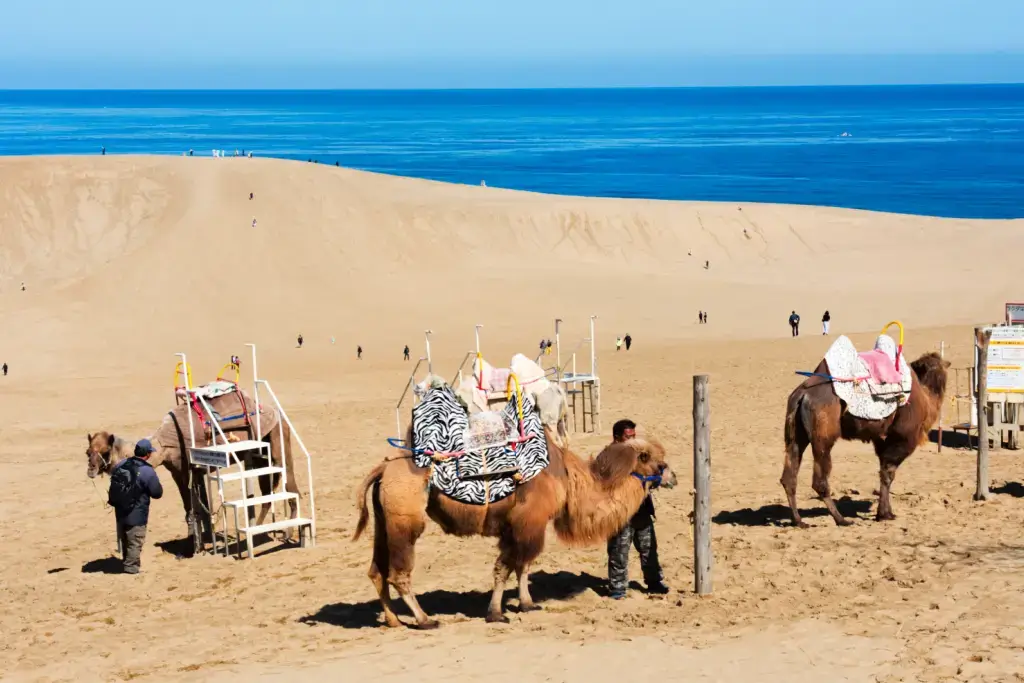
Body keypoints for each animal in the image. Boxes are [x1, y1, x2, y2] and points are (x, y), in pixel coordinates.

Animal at [88, 387, 299, 548]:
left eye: (105, 451)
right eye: (87, 451)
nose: (90, 469)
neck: (162, 445)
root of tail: (276, 413)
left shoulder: (189, 469)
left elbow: (196, 505)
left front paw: (197, 544)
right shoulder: (179, 471)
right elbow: (194, 506)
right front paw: (198, 539)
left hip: (278, 440)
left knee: (290, 486)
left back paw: (288, 534)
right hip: (259, 456)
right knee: (267, 494)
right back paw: (258, 532)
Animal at [348, 430, 675, 626]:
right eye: (659, 464)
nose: (674, 477)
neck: (569, 479)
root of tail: (384, 468)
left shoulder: (521, 528)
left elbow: (522, 566)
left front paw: (527, 604)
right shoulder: (527, 522)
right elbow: (505, 568)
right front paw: (496, 613)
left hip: (385, 520)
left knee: (377, 571)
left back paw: (393, 620)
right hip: (405, 521)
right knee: (398, 573)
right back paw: (425, 619)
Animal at [782, 352, 950, 528]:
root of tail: (803, 395)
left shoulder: (880, 439)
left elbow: (883, 473)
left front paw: (885, 513)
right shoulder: (902, 439)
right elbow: (889, 474)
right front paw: (884, 514)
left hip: (796, 435)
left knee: (789, 476)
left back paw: (799, 521)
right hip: (823, 436)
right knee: (819, 480)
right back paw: (841, 519)